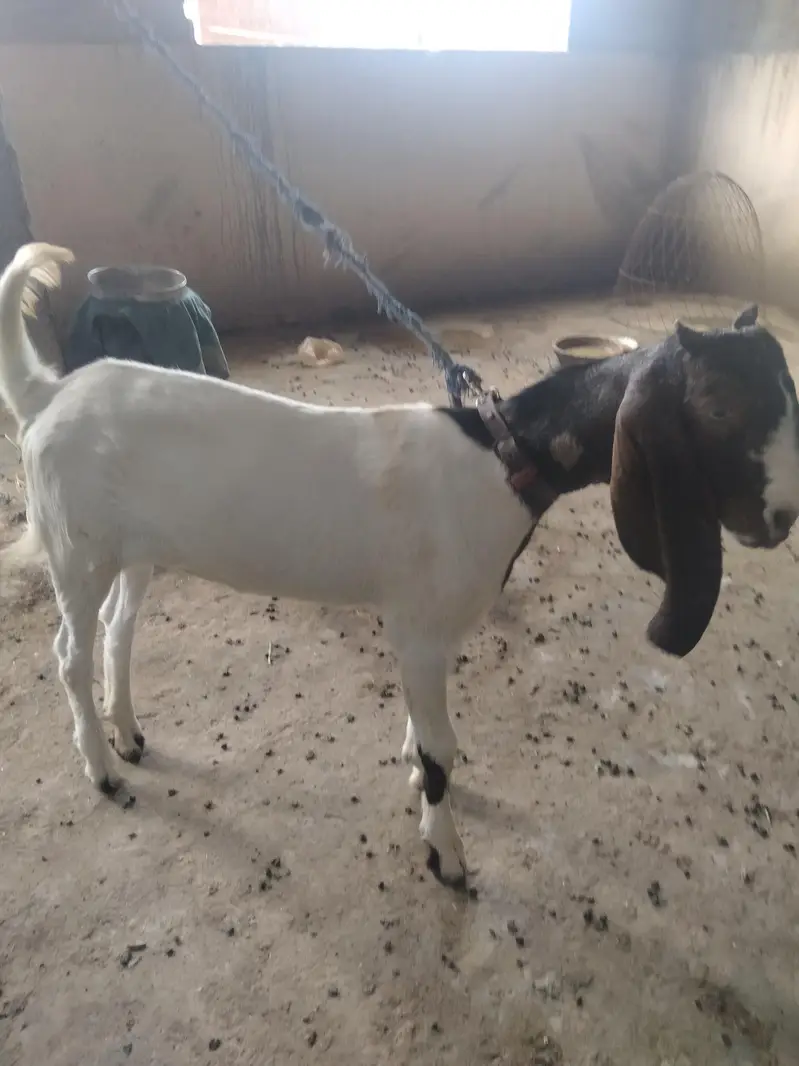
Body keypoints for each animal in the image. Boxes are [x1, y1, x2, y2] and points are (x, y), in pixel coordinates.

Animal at [2, 243, 799, 888]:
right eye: (719, 411)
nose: (783, 517)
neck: (500, 457)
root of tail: (50, 393)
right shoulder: (417, 629)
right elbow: (443, 748)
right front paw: (446, 855)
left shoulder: (435, 629)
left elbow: (424, 736)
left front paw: (418, 781)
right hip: (76, 548)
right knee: (70, 651)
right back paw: (101, 768)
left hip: (132, 549)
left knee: (119, 626)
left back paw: (128, 734)